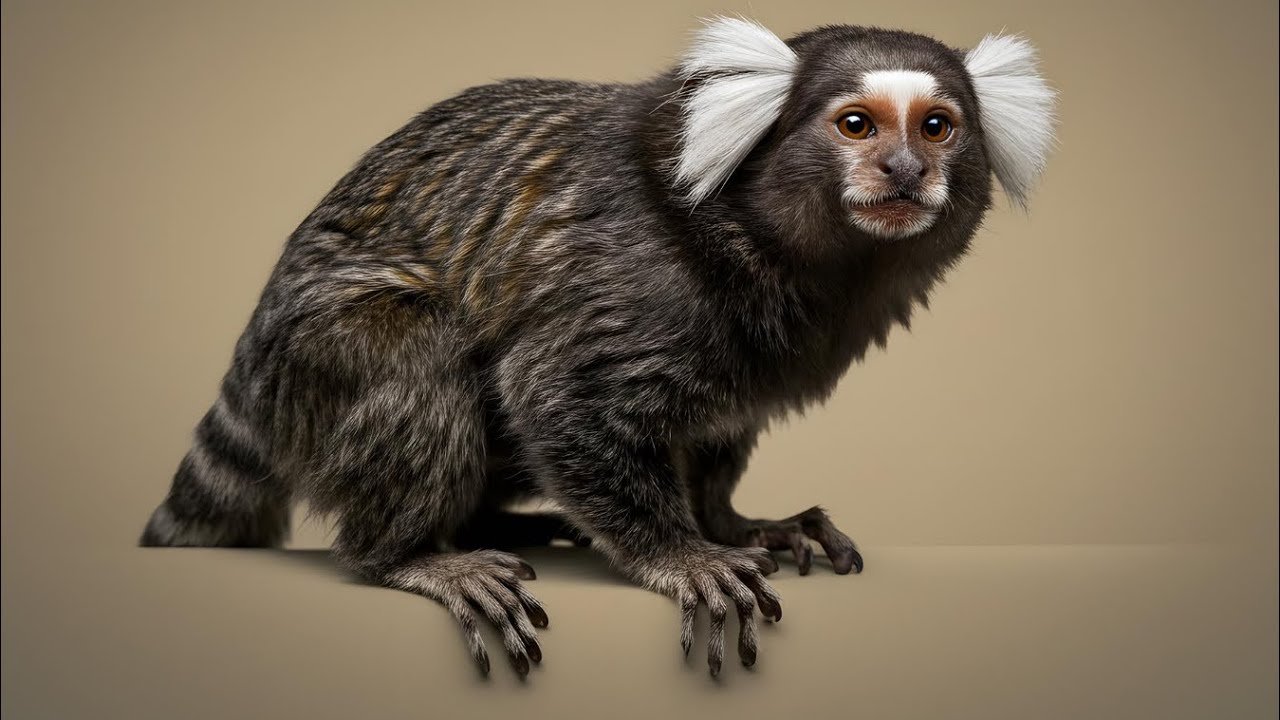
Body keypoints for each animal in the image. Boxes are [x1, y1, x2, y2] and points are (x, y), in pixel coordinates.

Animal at [139, 18, 1055, 676]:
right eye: (857, 125)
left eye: (937, 127)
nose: (905, 169)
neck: (751, 236)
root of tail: (256, 352)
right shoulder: (634, 284)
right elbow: (554, 395)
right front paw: (683, 555)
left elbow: (716, 439)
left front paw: (741, 525)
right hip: (324, 350)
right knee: (417, 361)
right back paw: (416, 556)